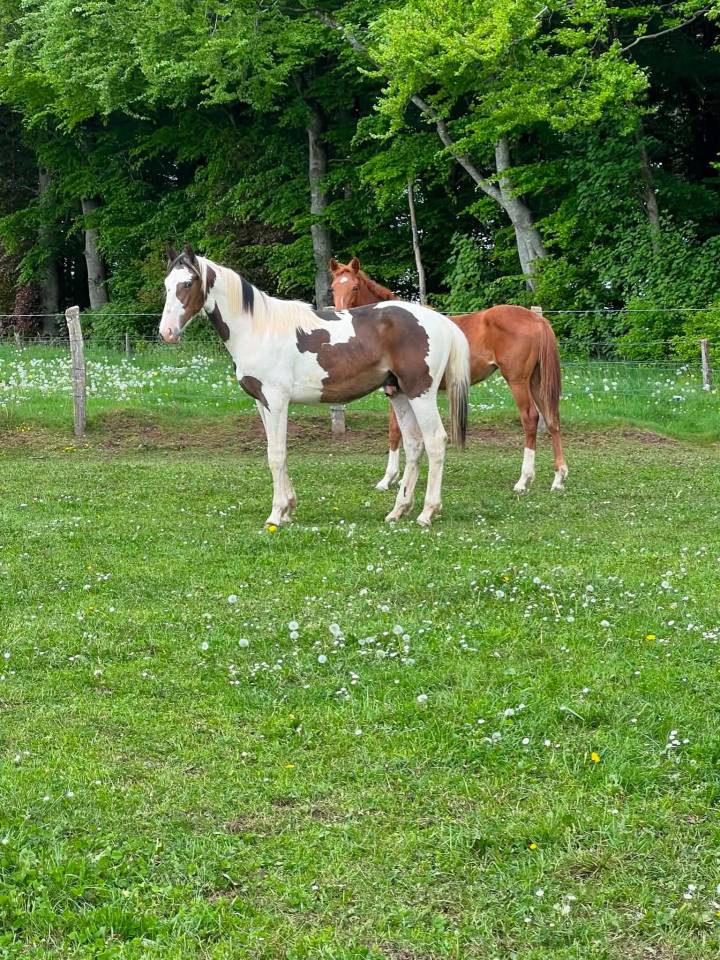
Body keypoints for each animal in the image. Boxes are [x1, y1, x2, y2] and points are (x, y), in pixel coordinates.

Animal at [160, 245, 471, 528]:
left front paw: (276, 514)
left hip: (421, 393)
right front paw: (288, 509)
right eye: (167, 285)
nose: (166, 333)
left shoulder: (276, 401)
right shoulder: (261, 402)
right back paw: (398, 511)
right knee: (414, 444)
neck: (258, 328)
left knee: (435, 441)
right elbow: (278, 452)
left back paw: (427, 513)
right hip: (399, 394)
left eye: (187, 283)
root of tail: (440, 321)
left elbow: (276, 455)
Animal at [329, 257, 568, 494]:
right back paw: (558, 478)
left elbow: (395, 431)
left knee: (530, 418)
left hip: (518, 381)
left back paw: (523, 480)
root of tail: (536, 319)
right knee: (552, 419)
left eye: (355, 286)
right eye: (333, 287)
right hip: (537, 381)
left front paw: (388, 478)